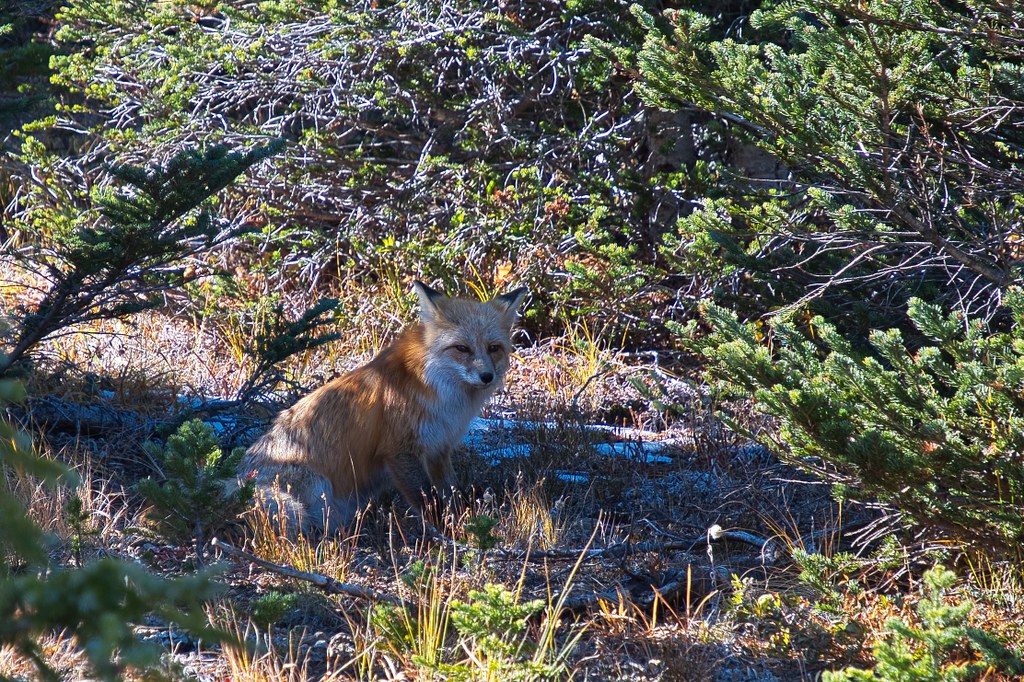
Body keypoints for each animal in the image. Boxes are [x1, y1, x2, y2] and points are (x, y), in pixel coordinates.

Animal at [239, 281, 529, 535]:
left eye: (493, 348)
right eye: (462, 348)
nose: (487, 376)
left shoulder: (439, 449)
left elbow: (452, 495)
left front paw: (463, 523)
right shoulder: (399, 450)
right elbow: (431, 503)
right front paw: (452, 537)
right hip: (314, 486)